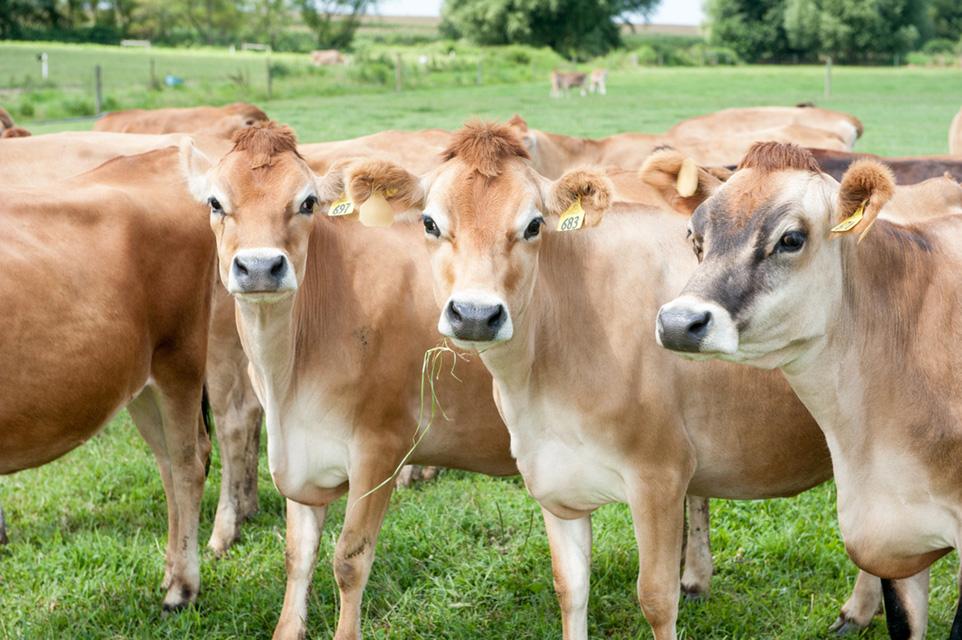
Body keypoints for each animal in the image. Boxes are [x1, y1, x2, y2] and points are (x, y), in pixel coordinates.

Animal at [334, 124, 888, 640]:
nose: (475, 314)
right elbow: (570, 587)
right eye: (429, 222)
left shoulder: (659, 476)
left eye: (533, 225)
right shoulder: (551, 479)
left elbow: (656, 599)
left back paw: (857, 610)